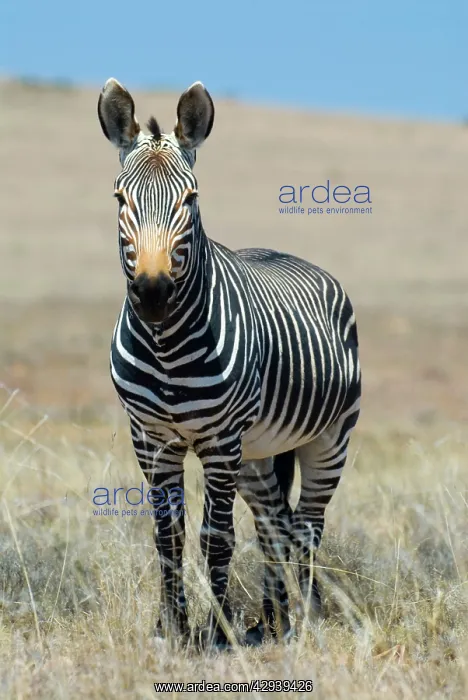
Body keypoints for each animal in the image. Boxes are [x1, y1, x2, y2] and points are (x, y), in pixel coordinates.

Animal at [97, 78, 361, 649]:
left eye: (191, 199)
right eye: (120, 198)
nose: (152, 294)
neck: (166, 346)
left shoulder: (220, 441)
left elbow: (215, 537)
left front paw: (216, 633)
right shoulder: (150, 438)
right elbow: (167, 537)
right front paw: (170, 627)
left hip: (327, 439)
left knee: (307, 526)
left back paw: (305, 618)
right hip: (258, 453)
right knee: (274, 525)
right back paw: (273, 620)